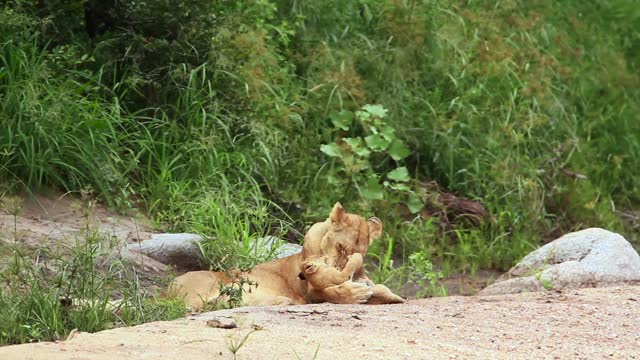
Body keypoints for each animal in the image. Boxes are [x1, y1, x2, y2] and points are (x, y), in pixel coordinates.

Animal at [168, 204, 402, 308]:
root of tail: (165, 291)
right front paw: (355, 292)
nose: (350, 272)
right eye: (341, 247)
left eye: (362, 254)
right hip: (204, 287)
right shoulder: (311, 292)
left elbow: (379, 288)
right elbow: (331, 293)